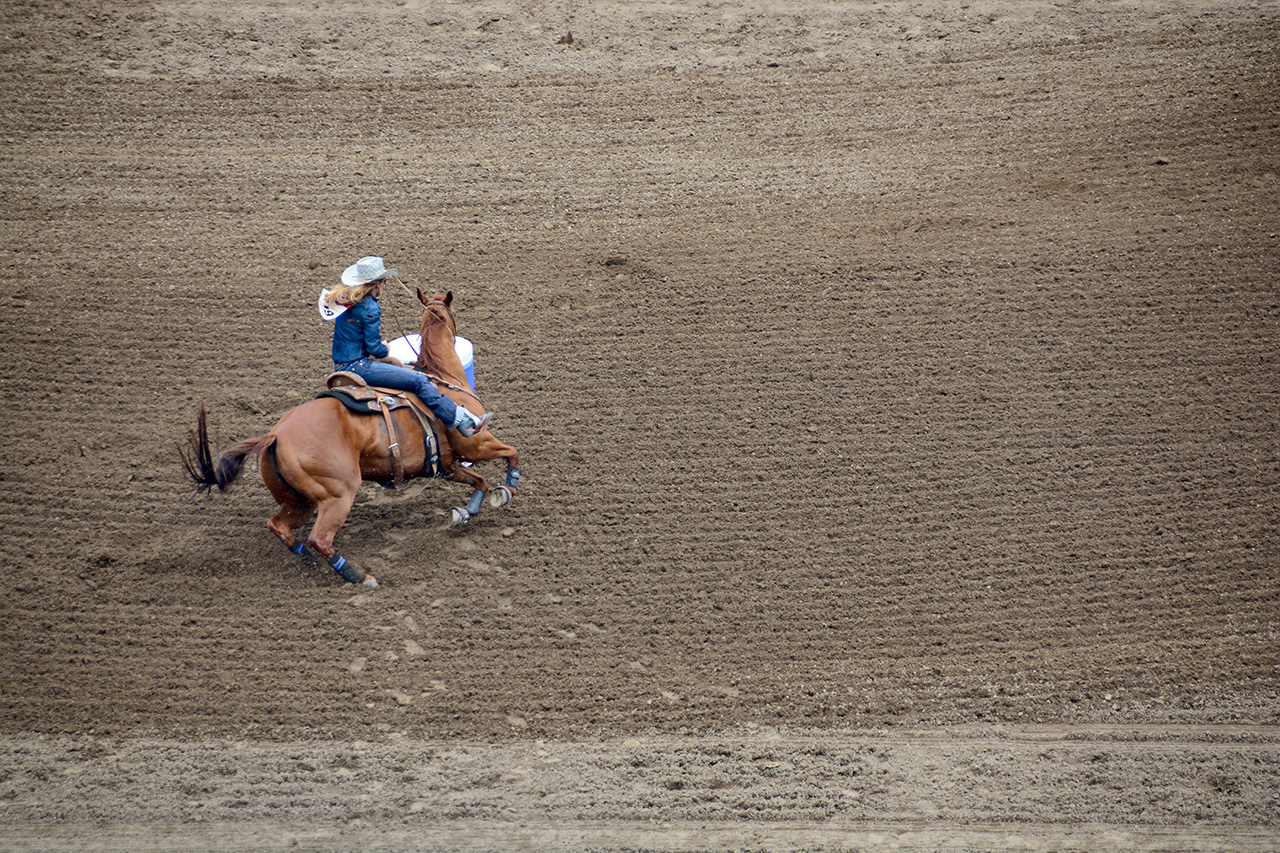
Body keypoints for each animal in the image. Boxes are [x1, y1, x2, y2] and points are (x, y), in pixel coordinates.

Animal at [179, 289, 519, 581]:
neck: (443, 378)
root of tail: (275, 435)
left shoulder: (446, 465)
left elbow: (479, 481)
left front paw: (466, 512)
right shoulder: (476, 444)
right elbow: (511, 453)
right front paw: (508, 489)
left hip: (299, 500)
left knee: (279, 526)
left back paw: (308, 561)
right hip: (338, 494)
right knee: (320, 538)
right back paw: (358, 576)